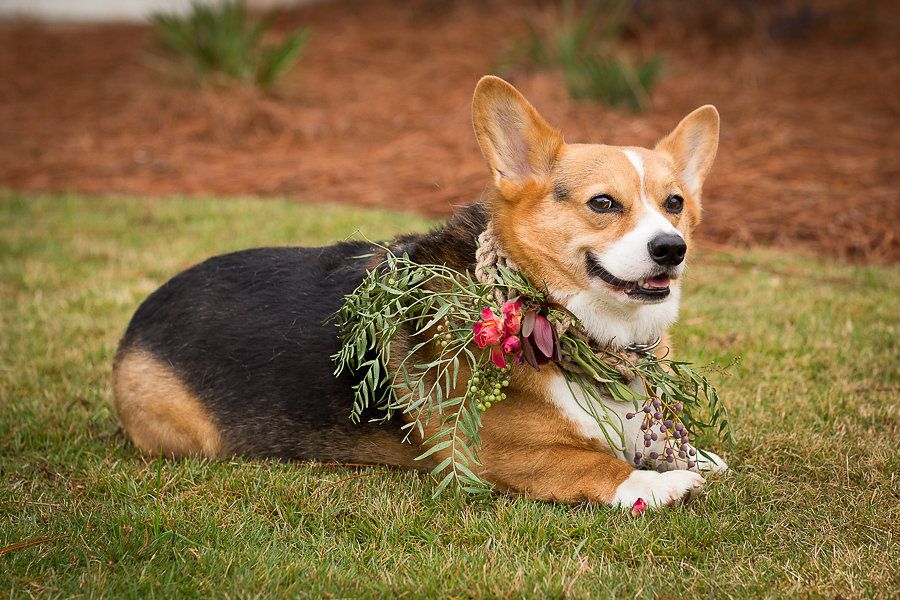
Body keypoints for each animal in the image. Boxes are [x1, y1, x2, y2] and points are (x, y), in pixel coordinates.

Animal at [114, 74, 732, 506]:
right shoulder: (484, 454)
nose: (671, 248)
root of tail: (143, 314)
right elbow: (592, 464)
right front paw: (656, 484)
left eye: (674, 203)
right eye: (603, 203)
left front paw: (695, 457)